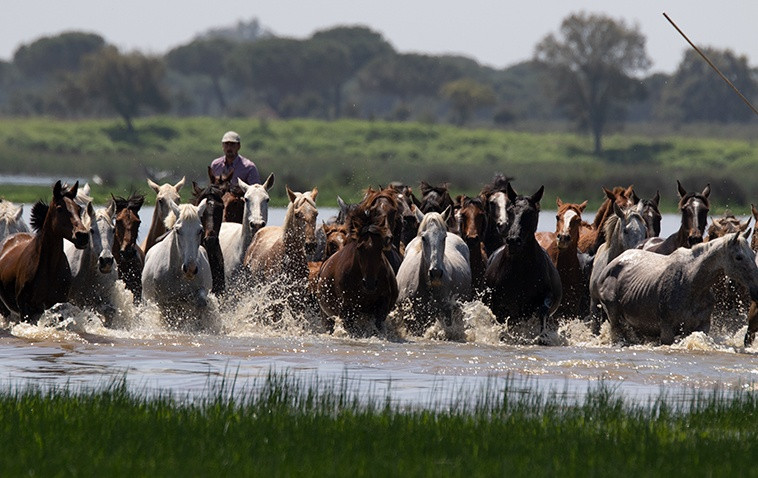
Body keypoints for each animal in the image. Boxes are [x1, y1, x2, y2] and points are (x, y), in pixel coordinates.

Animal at [0, 181, 89, 324]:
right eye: (59, 208)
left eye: (78, 209)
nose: (82, 236)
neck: (48, 270)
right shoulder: (25, 309)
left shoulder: (57, 305)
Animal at [141, 199, 214, 328]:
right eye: (178, 230)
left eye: (200, 230)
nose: (190, 269)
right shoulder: (163, 302)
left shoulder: (202, 290)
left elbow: (200, 302)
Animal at [316, 196, 400, 334]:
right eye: (359, 248)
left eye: (380, 247)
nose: (370, 284)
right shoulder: (347, 310)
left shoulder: (382, 307)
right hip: (326, 316)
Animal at [486, 183, 564, 344]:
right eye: (510, 210)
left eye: (531, 213)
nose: (513, 240)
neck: (519, 271)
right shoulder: (498, 304)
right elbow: (501, 319)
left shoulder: (547, 295)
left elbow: (542, 310)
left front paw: (542, 337)